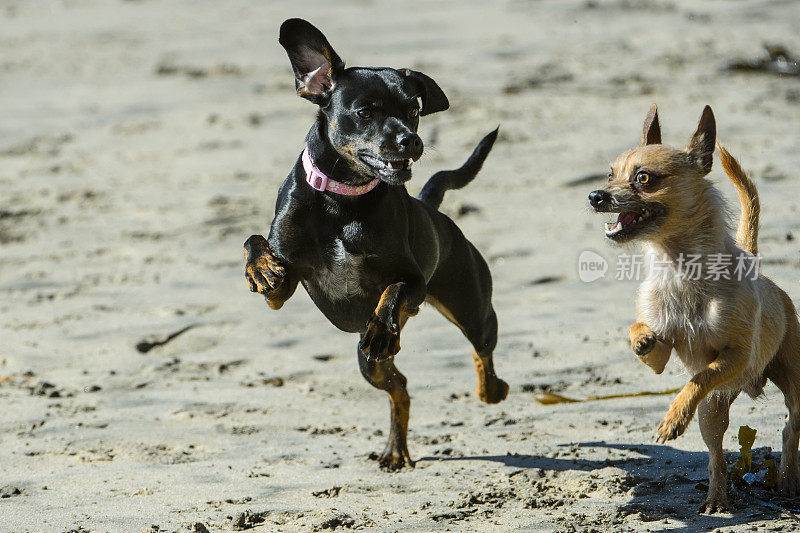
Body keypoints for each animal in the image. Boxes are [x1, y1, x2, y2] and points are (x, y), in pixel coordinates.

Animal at [244, 18, 506, 468]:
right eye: (366, 112)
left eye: (414, 110)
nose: (411, 141)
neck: (342, 202)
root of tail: (430, 206)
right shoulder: (283, 289)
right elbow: (255, 243)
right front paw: (260, 267)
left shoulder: (414, 281)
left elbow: (394, 290)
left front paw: (382, 326)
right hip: (371, 365)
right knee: (399, 388)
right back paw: (396, 449)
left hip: (470, 305)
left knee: (481, 348)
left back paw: (490, 389)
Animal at [588, 104, 800, 512]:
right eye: (609, 174)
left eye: (644, 178)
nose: (595, 196)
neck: (680, 269)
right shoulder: (666, 354)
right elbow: (645, 334)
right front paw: (640, 339)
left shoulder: (736, 357)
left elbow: (697, 379)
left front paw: (672, 419)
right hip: (711, 413)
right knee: (717, 457)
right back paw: (717, 500)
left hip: (791, 380)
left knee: (790, 426)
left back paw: (787, 480)